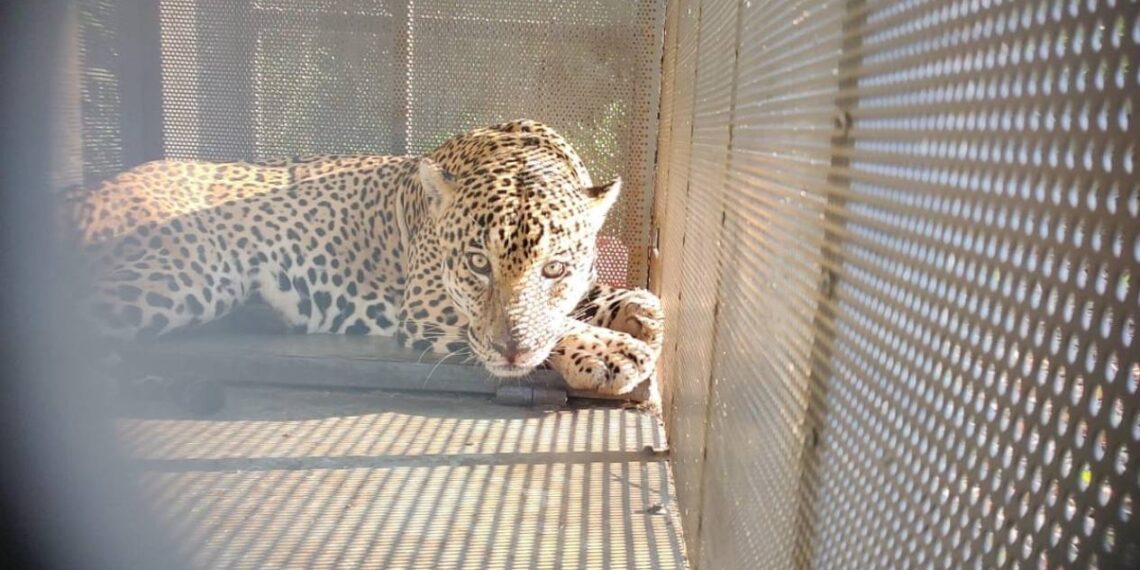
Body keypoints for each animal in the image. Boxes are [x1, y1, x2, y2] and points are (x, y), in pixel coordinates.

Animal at [68, 119, 664, 396]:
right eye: (477, 263)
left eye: (554, 268)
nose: (510, 351)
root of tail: (88, 190)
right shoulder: (426, 307)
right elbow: (551, 326)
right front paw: (612, 351)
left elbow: (590, 298)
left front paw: (639, 311)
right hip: (185, 273)